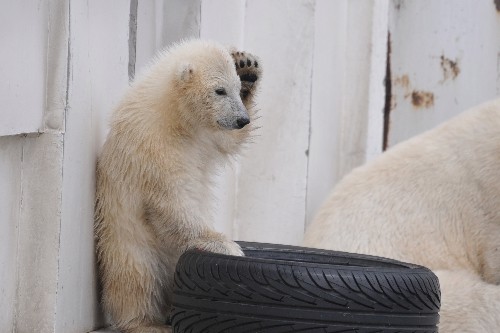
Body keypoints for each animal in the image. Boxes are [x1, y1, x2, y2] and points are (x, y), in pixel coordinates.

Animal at [95, 39, 264, 332]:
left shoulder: (205, 136)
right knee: (137, 279)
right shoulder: (153, 145)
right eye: (219, 90)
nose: (242, 119)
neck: (173, 116)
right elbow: (171, 202)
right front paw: (225, 245)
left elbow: (228, 141)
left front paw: (247, 67)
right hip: (130, 244)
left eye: (234, 87)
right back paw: (146, 323)